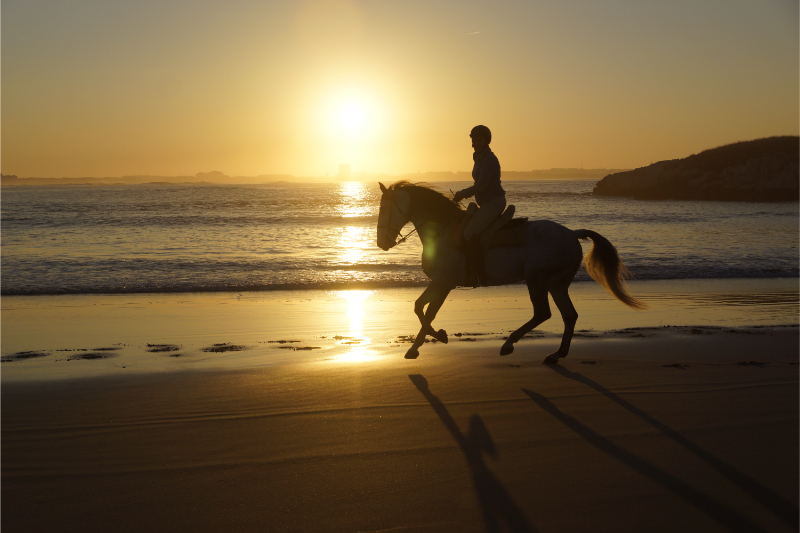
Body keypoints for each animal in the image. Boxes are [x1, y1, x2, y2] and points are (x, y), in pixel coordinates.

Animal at [378, 181, 648, 364]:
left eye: (384, 209)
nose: (381, 243)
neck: (442, 231)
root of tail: (572, 234)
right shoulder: (442, 283)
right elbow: (423, 309)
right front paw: (421, 344)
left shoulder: (444, 282)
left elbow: (424, 311)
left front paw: (430, 340)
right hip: (557, 284)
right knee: (569, 315)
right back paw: (556, 354)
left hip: (537, 280)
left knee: (543, 313)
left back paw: (509, 343)